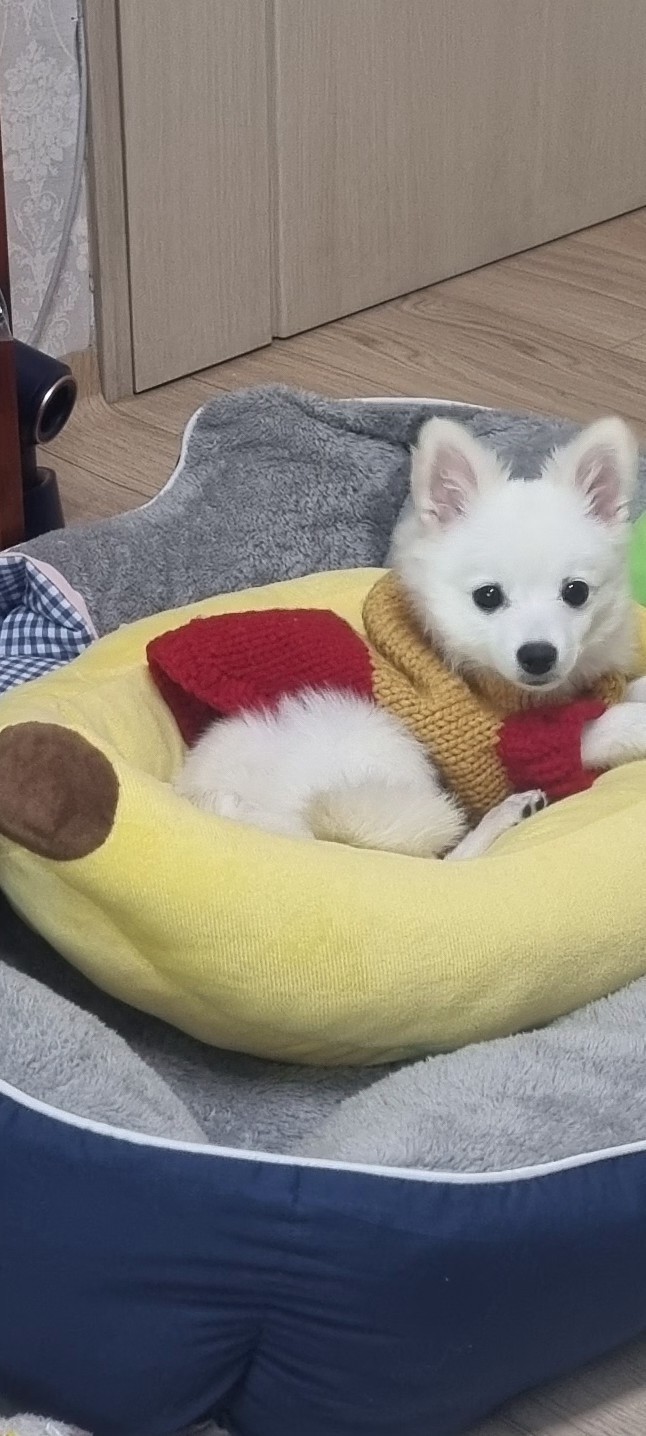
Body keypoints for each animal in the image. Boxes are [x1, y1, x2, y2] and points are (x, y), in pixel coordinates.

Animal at [176, 415, 646, 861]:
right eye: (488, 597)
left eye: (576, 592)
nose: (538, 655)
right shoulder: (488, 751)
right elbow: (598, 728)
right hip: (379, 742)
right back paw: (505, 816)